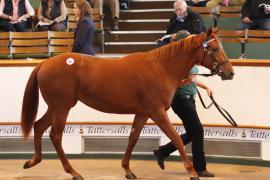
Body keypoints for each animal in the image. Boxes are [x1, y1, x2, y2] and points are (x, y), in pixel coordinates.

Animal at [21, 27, 234, 179]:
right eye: (214, 49)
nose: (230, 73)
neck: (160, 68)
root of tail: (44, 63)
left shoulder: (143, 113)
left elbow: (133, 138)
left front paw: (128, 170)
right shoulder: (157, 112)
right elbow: (176, 138)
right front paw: (192, 172)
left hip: (56, 107)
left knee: (38, 126)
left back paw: (32, 161)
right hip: (61, 107)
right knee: (55, 136)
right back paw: (73, 173)